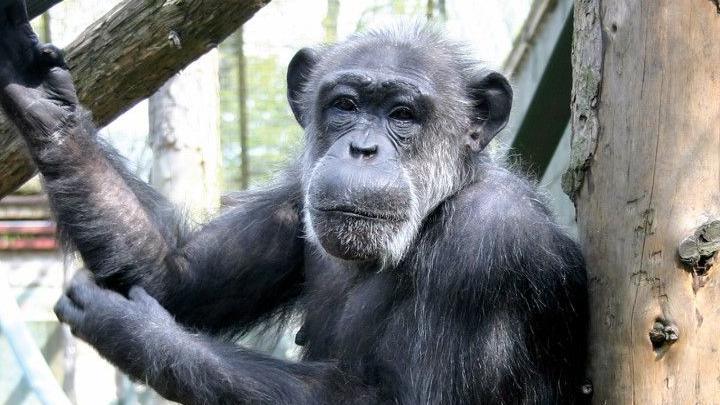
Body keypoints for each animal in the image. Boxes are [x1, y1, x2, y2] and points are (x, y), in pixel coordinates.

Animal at [0, 1, 584, 402]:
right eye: (345, 105)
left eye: (402, 115)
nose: (363, 149)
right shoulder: (293, 194)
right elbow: (173, 274)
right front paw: (36, 89)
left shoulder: (490, 243)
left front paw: (137, 330)